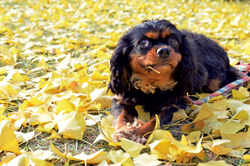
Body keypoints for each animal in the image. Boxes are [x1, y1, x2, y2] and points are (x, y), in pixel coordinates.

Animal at [108, 19, 242, 143]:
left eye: (173, 41)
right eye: (143, 42)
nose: (164, 51)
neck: (152, 83)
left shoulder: (173, 106)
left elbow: (154, 122)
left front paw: (137, 133)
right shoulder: (121, 100)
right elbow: (120, 116)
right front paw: (122, 131)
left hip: (214, 80)